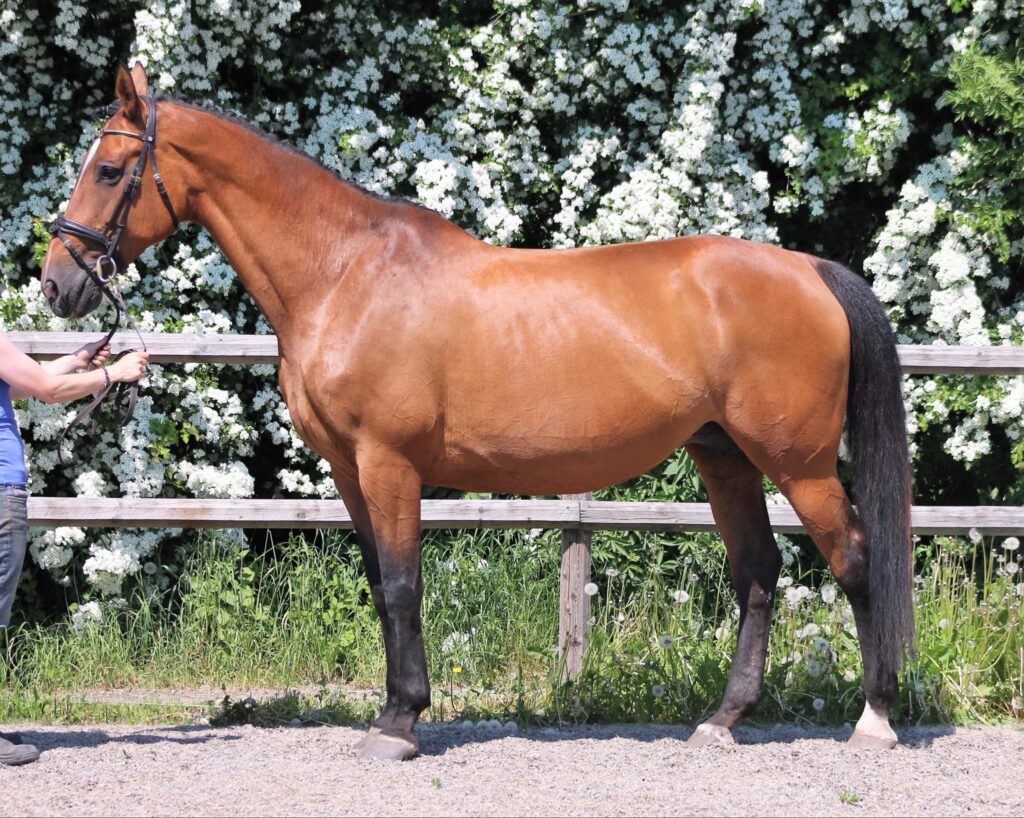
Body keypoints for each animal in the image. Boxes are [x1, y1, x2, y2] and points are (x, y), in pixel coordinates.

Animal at [39, 63, 913, 761]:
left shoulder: (390, 463)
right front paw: (396, 711)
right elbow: (380, 583)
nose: (56, 282)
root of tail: (807, 269)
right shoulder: (351, 472)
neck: (345, 273)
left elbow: (401, 585)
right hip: (724, 455)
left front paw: (399, 726)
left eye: (111, 169)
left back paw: (874, 719)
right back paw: (722, 721)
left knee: (855, 559)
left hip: (797, 463)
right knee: (756, 573)